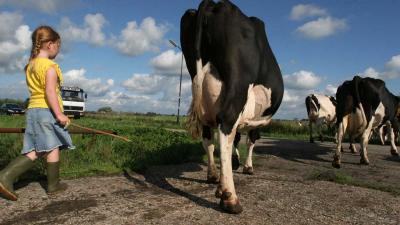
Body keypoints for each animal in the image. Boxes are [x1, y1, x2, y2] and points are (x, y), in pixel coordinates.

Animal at [180, 0, 282, 214]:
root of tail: (216, 4)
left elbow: (235, 140)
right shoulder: (255, 122)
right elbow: (250, 140)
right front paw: (247, 167)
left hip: (200, 87)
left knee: (209, 136)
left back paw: (213, 177)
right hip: (238, 85)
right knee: (226, 125)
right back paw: (230, 198)